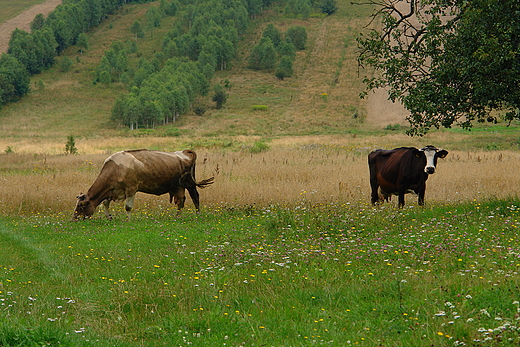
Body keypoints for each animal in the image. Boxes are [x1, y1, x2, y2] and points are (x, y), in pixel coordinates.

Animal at [72, 150, 213, 220]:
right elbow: (105, 204)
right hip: (178, 186)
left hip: (189, 183)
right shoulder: (113, 190)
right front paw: (109, 217)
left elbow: (128, 207)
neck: (115, 168)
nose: (73, 219)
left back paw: (197, 215)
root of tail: (183, 152)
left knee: (195, 197)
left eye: (81, 205)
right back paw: (177, 217)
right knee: (181, 201)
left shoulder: (131, 189)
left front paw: (128, 221)